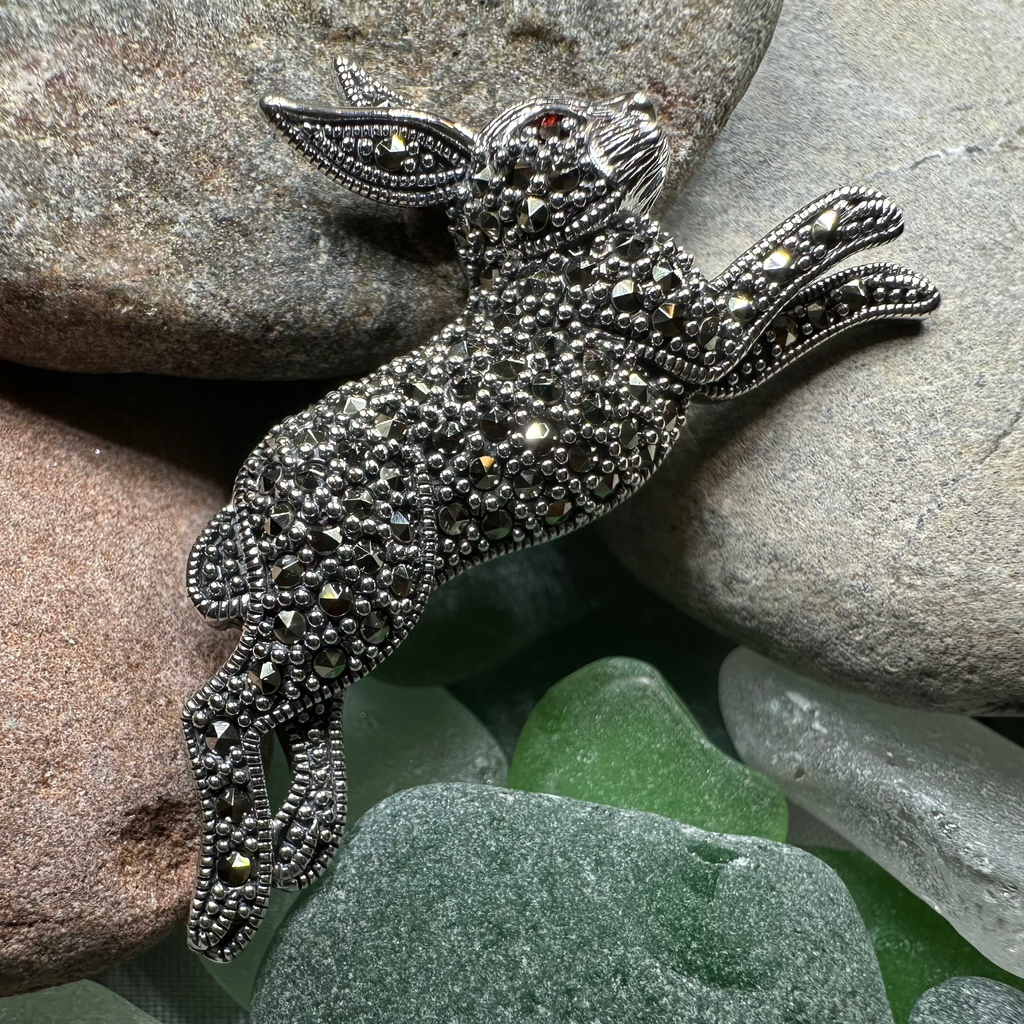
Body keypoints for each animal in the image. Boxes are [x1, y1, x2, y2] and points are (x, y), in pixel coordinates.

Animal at [181, 57, 940, 960]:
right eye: (551, 123)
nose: (645, 106)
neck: (550, 248)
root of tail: (252, 487)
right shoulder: (705, 332)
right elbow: (778, 268)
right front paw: (866, 215)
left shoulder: (713, 366)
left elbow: (798, 312)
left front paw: (895, 286)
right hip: (357, 591)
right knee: (219, 713)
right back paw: (230, 900)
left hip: (335, 610)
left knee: (306, 716)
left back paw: (303, 841)